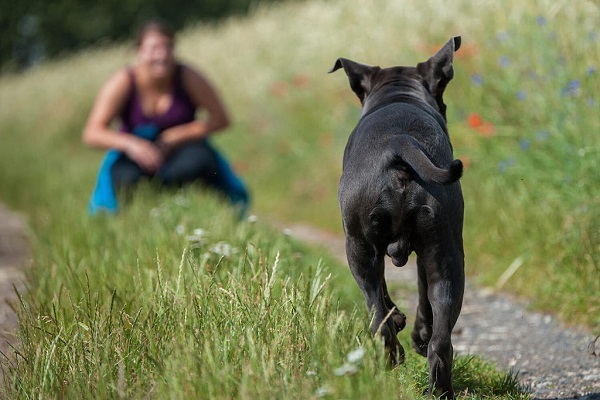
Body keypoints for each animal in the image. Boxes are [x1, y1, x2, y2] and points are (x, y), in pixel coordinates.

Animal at [332, 36, 464, 396]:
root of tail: (399, 143)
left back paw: (395, 357)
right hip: (445, 253)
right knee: (440, 339)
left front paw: (402, 321)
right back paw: (438, 387)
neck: (399, 95)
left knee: (377, 314)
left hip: (357, 247)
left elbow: (383, 294)